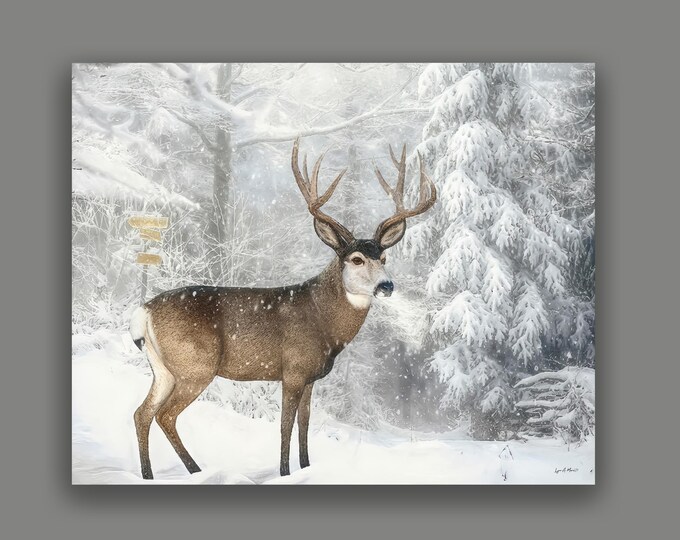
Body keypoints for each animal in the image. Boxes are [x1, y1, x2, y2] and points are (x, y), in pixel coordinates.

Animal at [129, 138, 436, 479]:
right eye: (356, 259)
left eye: (383, 258)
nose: (387, 285)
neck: (324, 324)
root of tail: (143, 312)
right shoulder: (293, 369)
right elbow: (285, 425)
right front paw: (286, 472)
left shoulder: (311, 377)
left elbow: (304, 423)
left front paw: (306, 467)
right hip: (194, 365)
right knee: (165, 415)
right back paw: (195, 471)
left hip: (162, 368)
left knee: (142, 412)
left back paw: (149, 474)